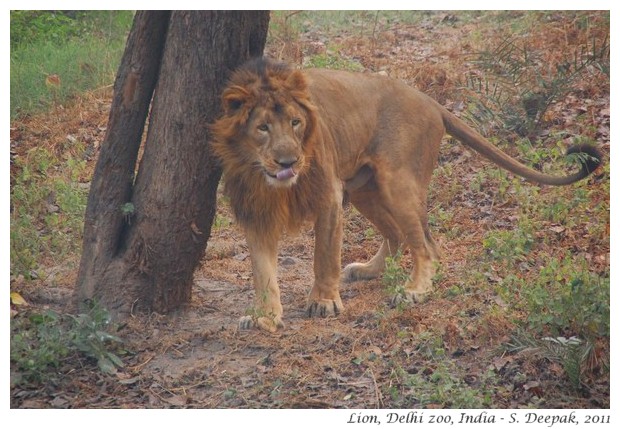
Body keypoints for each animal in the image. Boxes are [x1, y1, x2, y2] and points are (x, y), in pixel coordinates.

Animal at [209, 57, 600, 332]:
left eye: (295, 122)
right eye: (262, 128)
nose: (289, 161)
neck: (266, 177)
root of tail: (431, 101)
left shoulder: (329, 194)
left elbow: (324, 256)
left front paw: (323, 302)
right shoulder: (254, 209)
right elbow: (262, 270)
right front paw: (263, 316)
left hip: (396, 181)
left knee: (428, 246)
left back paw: (414, 290)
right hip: (364, 187)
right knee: (397, 235)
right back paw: (368, 270)